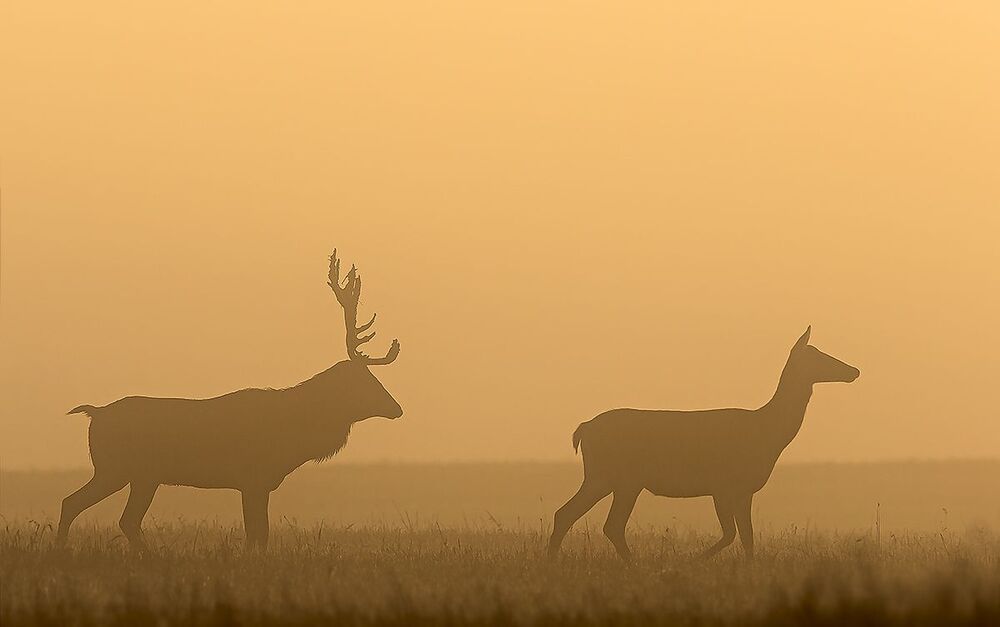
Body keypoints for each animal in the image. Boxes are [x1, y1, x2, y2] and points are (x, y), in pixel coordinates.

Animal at [55, 250, 402, 550]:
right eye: (365, 381)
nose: (397, 408)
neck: (295, 434)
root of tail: (94, 414)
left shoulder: (257, 482)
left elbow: (258, 535)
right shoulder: (253, 478)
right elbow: (257, 535)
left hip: (142, 476)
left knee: (123, 519)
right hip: (114, 468)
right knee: (74, 503)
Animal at [547, 327, 859, 561]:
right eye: (817, 355)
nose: (854, 370)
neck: (769, 434)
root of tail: (583, 429)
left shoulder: (742, 489)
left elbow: (747, 537)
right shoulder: (724, 485)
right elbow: (733, 534)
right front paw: (694, 560)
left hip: (609, 479)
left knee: (570, 515)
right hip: (617, 478)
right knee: (605, 523)